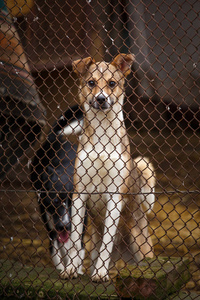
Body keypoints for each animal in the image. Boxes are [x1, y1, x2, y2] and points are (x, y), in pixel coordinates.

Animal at [30, 105, 85, 272]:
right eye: (55, 201)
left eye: (73, 202)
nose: (64, 225)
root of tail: (54, 137)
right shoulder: (52, 232)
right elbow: (57, 255)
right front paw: (64, 271)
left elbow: (77, 251)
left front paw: (75, 270)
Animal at [60, 53, 155, 282]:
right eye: (91, 83)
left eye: (112, 83)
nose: (101, 99)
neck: (103, 133)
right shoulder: (79, 195)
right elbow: (75, 240)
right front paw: (71, 269)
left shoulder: (115, 195)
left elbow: (107, 242)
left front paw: (101, 273)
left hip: (143, 249)